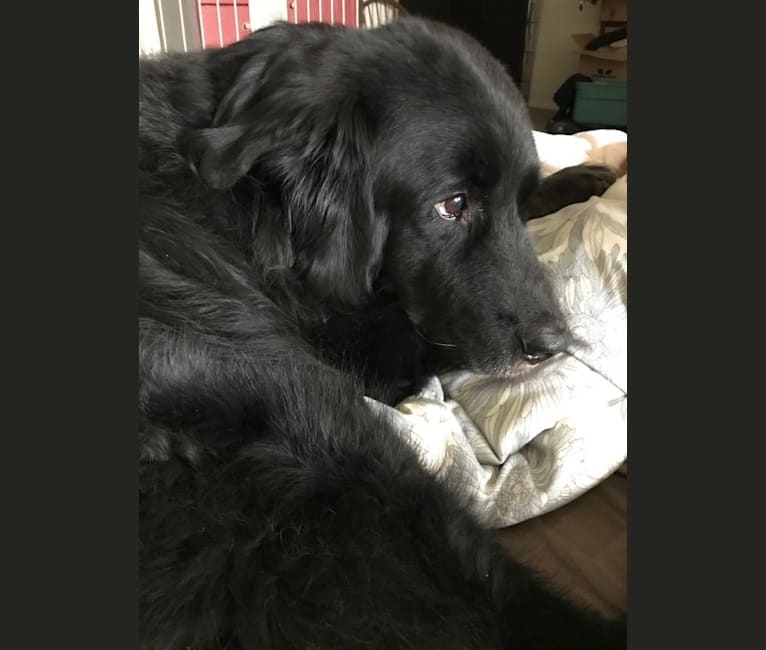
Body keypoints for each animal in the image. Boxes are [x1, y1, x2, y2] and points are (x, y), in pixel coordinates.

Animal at [140, 16, 624, 648]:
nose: (555, 345)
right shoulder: (362, 352)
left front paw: (582, 175)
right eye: (452, 205)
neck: (263, 206)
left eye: (515, 202)